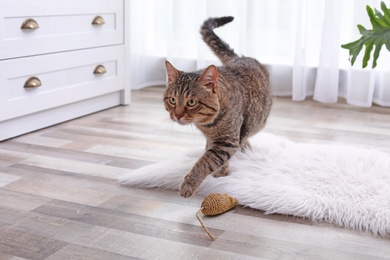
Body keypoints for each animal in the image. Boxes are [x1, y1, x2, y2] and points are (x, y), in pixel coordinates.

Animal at [163, 16, 272, 197]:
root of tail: (239, 57)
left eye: (191, 102)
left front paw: (190, 183)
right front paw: (221, 170)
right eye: (172, 100)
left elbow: (205, 161)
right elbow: (210, 154)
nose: (177, 115)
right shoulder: (215, 140)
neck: (208, 125)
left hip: (259, 120)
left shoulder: (226, 142)